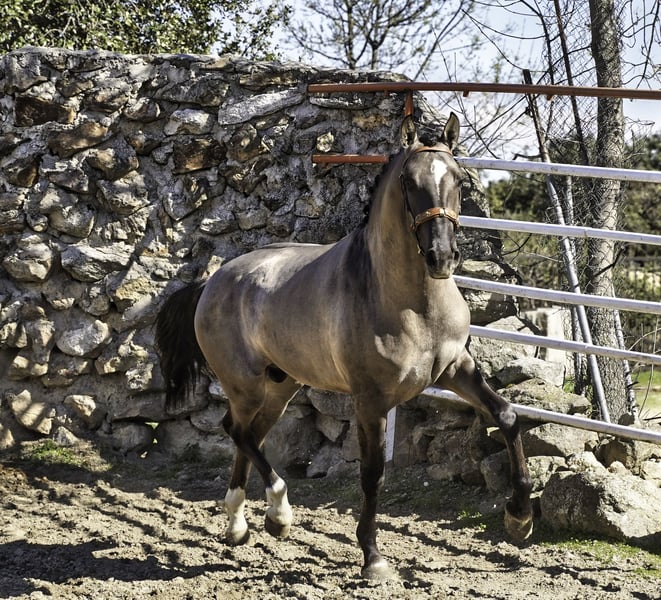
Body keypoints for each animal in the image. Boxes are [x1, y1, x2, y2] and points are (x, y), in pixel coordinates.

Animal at [155, 114, 533, 580]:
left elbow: (508, 416)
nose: (441, 257)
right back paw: (278, 514)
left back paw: (241, 527)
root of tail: (213, 281)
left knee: (248, 435)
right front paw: (373, 559)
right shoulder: (371, 399)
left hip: (281, 386)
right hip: (245, 384)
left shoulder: (454, 370)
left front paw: (519, 518)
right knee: (237, 431)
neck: (411, 303)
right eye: (408, 182)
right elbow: (372, 475)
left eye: (459, 179)